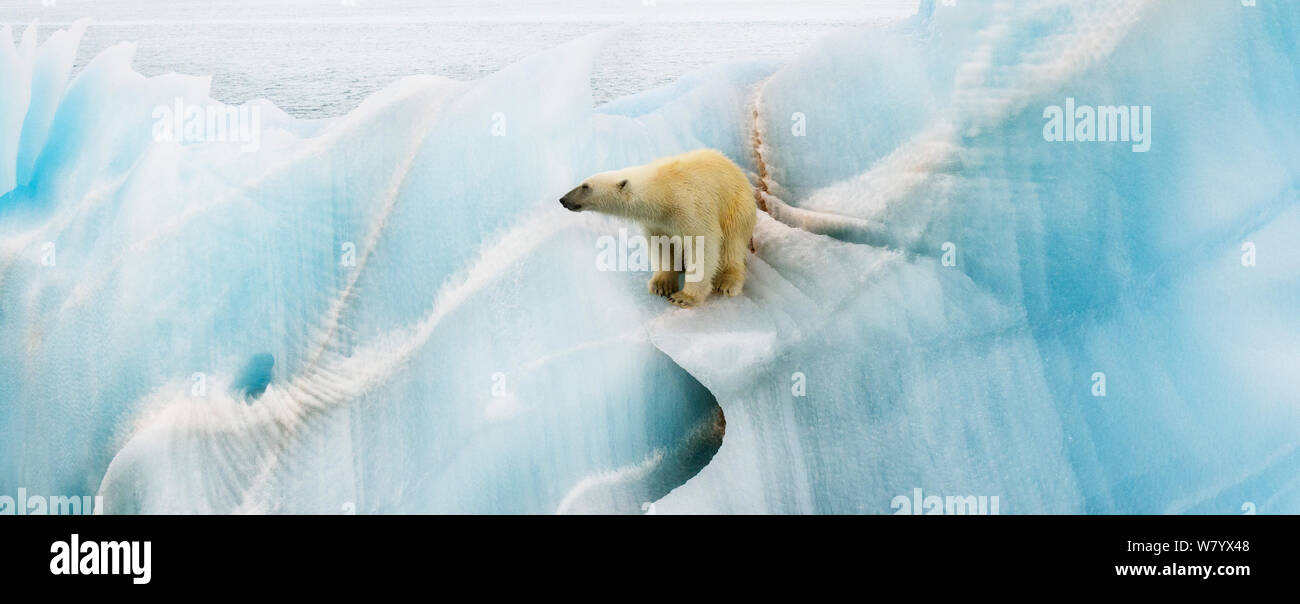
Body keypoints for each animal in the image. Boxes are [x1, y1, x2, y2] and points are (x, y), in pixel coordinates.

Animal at [559, 149, 757, 307]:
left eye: (585, 186)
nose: (563, 200)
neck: (663, 192)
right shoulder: (658, 222)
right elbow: (661, 246)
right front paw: (662, 285)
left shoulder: (691, 206)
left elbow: (703, 245)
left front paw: (684, 297)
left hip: (737, 206)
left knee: (732, 243)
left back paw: (727, 282)